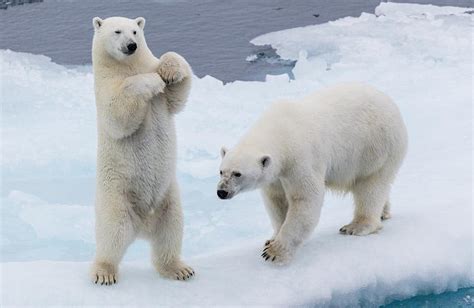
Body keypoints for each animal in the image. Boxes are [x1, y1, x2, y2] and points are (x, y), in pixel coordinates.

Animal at [90, 16, 194, 286]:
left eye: (135, 31)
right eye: (117, 31)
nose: (131, 46)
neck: (127, 66)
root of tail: (143, 226)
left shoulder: (164, 97)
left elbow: (178, 95)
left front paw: (168, 71)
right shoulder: (105, 88)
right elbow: (118, 114)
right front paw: (152, 81)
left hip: (168, 199)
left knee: (170, 231)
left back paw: (179, 269)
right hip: (116, 198)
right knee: (112, 235)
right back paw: (104, 272)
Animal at [218, 82, 408, 264]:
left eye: (237, 174)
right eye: (221, 171)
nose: (221, 192)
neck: (281, 131)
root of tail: (392, 105)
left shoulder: (300, 159)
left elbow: (305, 199)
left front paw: (274, 252)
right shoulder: (277, 174)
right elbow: (277, 200)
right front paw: (271, 239)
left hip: (375, 147)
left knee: (370, 186)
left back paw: (356, 226)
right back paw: (384, 212)